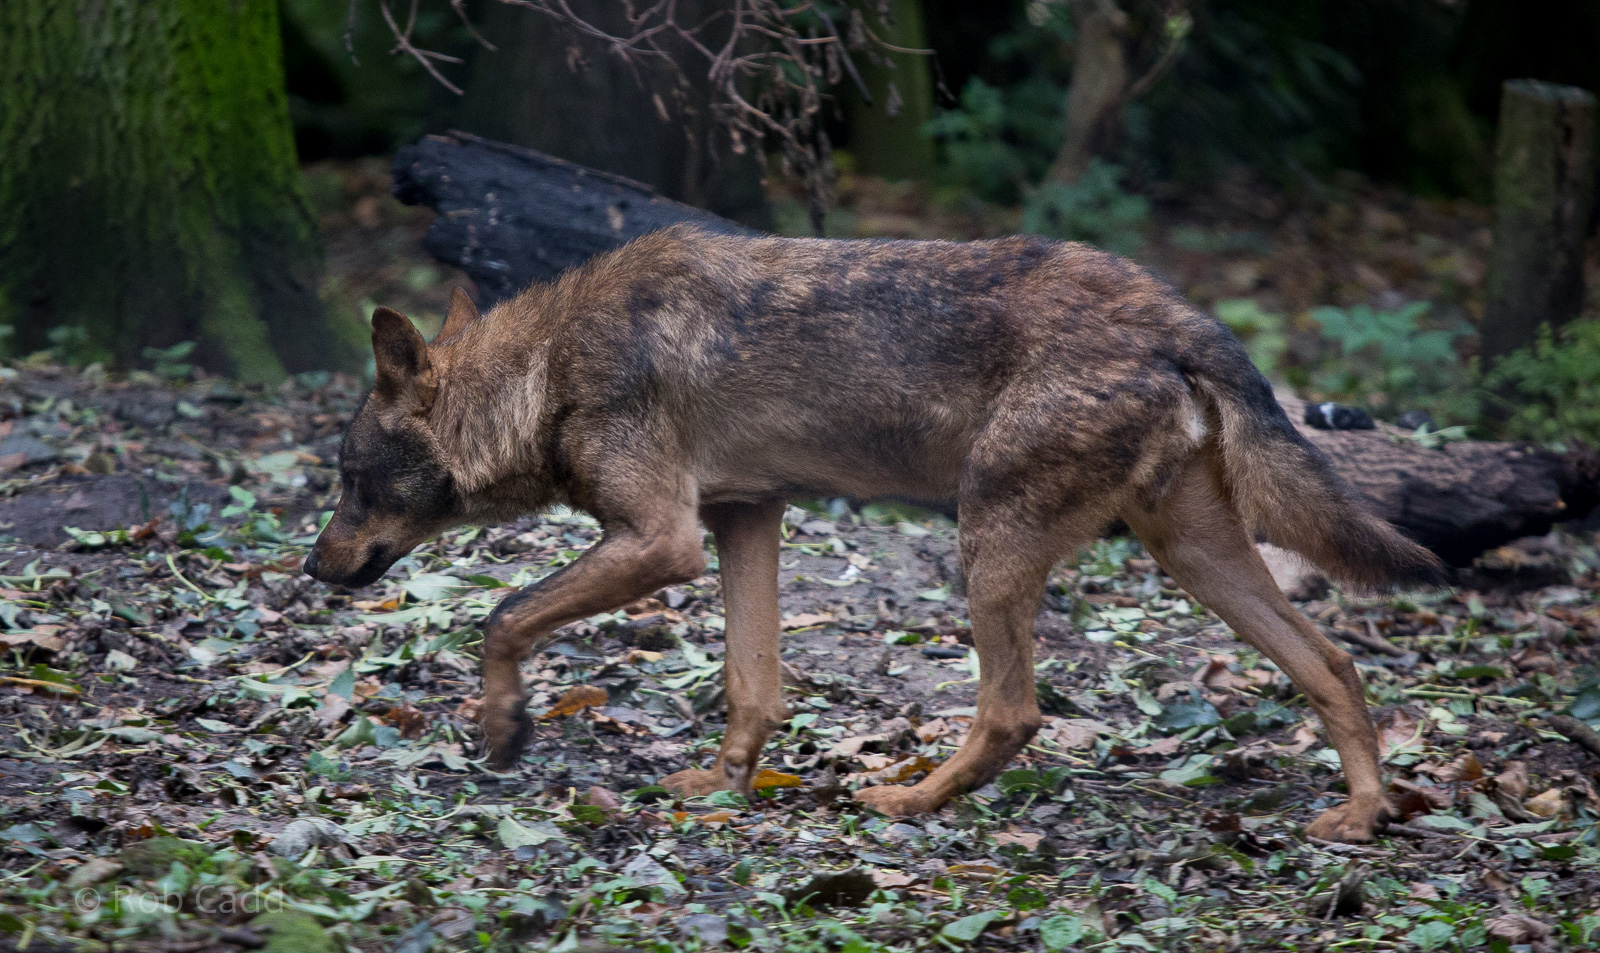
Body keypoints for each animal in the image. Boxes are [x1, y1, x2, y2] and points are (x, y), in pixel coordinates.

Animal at [304, 225, 1441, 843]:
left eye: (349, 479)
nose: (313, 567)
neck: (544, 374)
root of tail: (1179, 313)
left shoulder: (661, 540)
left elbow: (501, 614)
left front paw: (502, 729)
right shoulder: (744, 517)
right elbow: (751, 682)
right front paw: (724, 784)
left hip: (989, 543)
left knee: (1012, 712)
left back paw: (908, 797)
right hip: (1195, 555)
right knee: (1335, 662)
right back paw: (1361, 813)